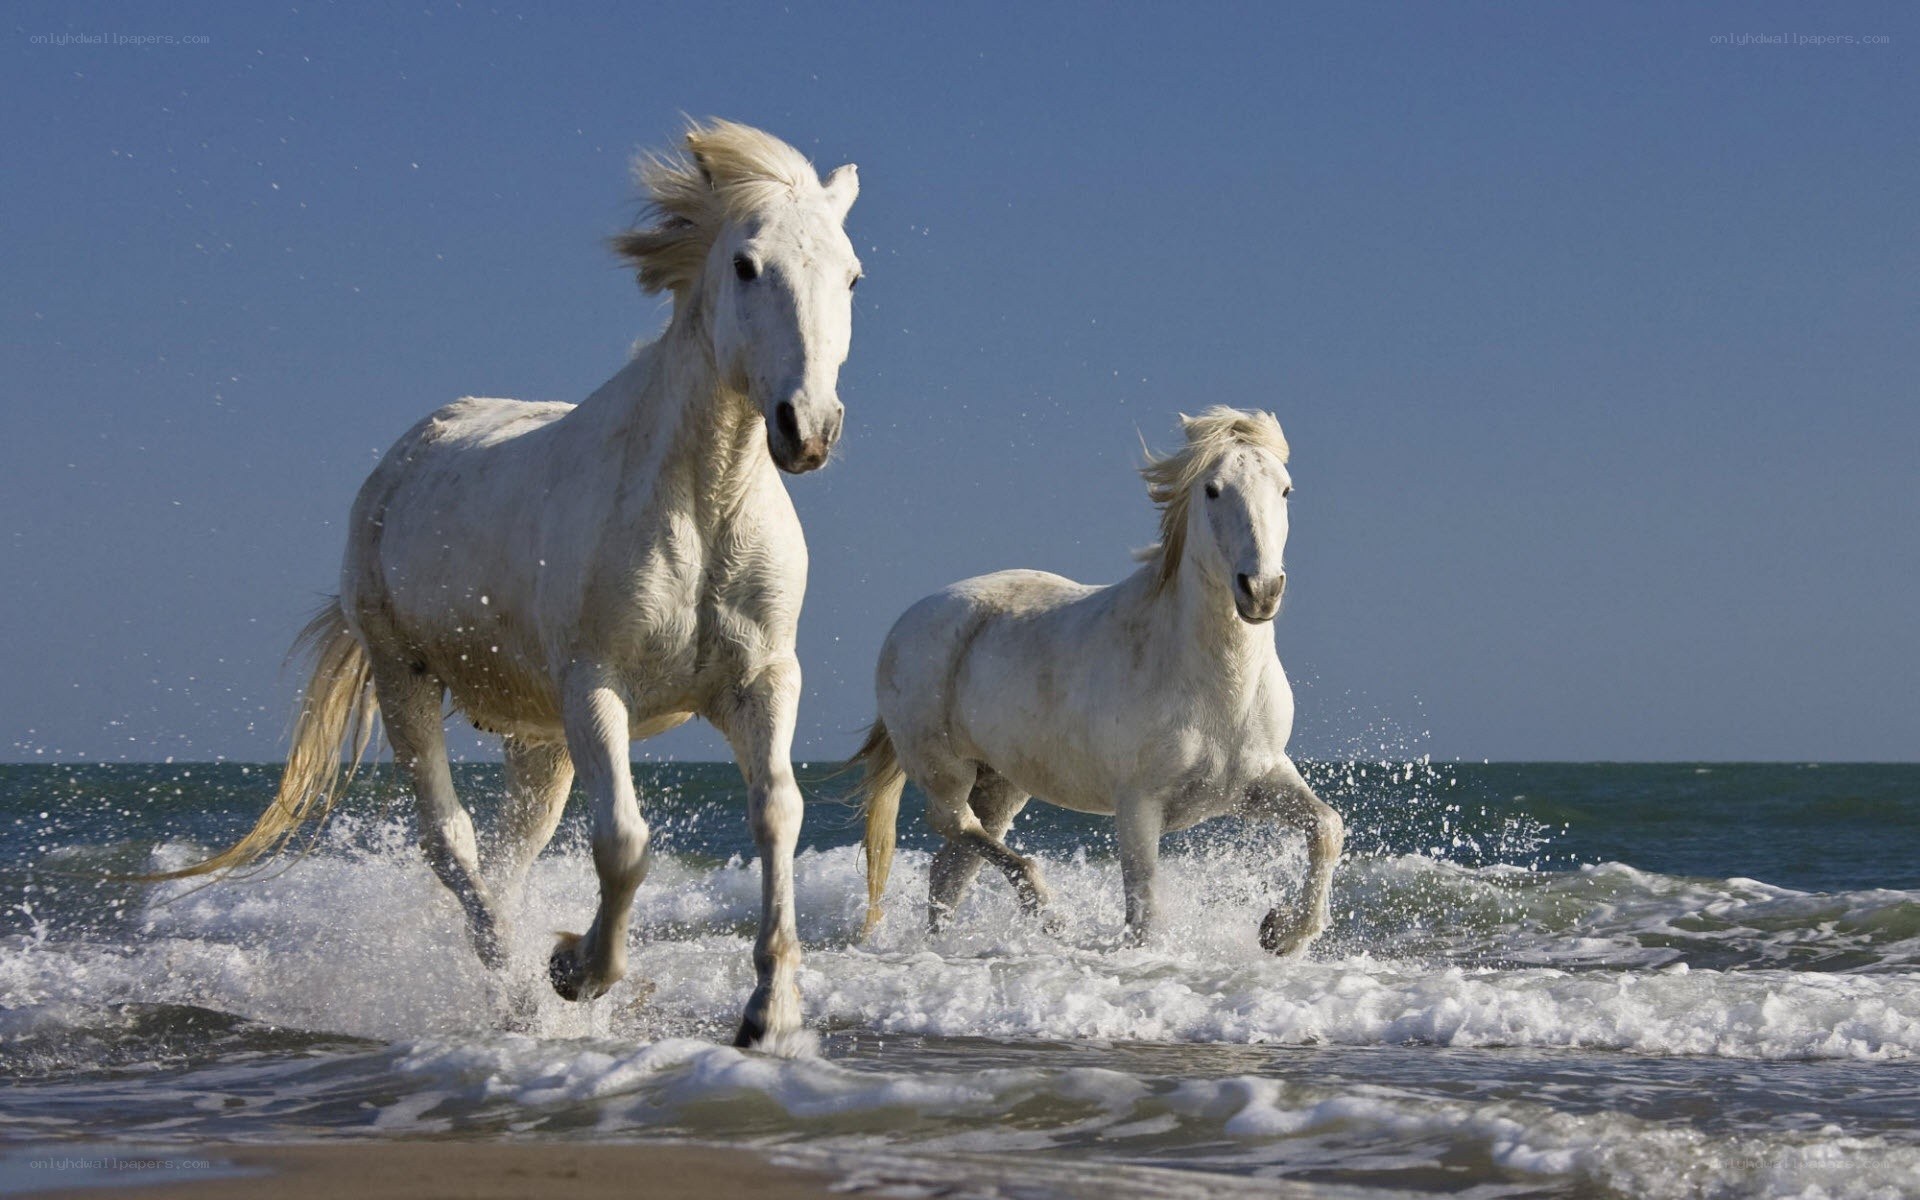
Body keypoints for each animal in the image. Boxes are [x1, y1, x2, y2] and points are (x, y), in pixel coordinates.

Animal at [145, 119, 862, 1048]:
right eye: (745, 264)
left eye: (851, 275)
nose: (806, 429)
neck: (701, 502)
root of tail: (406, 454)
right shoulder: (596, 686)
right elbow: (623, 840)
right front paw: (574, 972)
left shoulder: (763, 681)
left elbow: (777, 813)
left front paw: (768, 1012)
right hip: (407, 680)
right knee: (452, 845)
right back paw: (517, 991)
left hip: (539, 741)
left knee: (507, 857)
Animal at [852, 407, 1344, 955]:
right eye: (1213, 490)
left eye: (1285, 489)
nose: (1260, 590)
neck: (1216, 687)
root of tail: (908, 620)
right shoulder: (1138, 807)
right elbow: (1145, 913)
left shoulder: (1256, 784)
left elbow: (1327, 826)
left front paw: (1281, 932)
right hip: (944, 769)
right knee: (954, 826)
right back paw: (1046, 912)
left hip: (1001, 784)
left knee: (950, 868)